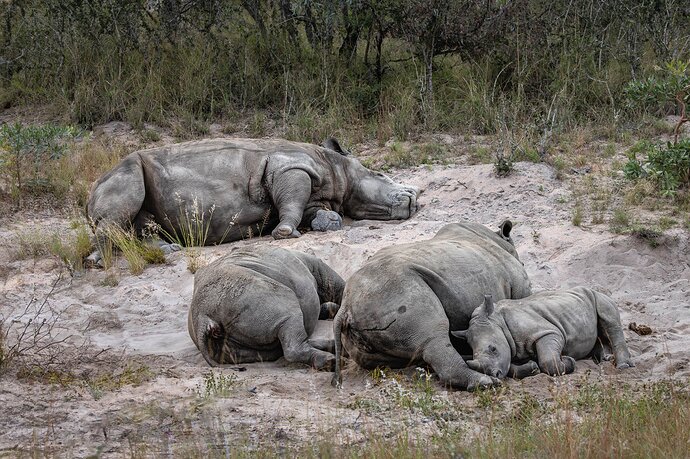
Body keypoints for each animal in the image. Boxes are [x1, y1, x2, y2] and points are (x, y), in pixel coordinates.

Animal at [86, 137, 418, 260]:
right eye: (381, 174)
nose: (414, 198)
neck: (336, 166)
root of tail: (87, 196)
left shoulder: (313, 194)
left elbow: (313, 211)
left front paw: (324, 223)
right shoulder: (289, 166)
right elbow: (292, 200)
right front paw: (284, 233)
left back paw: (169, 250)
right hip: (124, 170)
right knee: (122, 206)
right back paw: (99, 259)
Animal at [188, 245, 345, 370]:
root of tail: (203, 317)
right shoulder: (318, 268)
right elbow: (338, 286)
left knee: (272, 349)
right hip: (249, 296)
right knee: (289, 319)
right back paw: (331, 362)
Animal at [332, 221, 532, 391]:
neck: (499, 240)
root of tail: (346, 307)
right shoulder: (519, 286)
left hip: (368, 312)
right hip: (395, 291)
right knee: (433, 336)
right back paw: (487, 383)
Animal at [453, 288, 635, 379]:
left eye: (493, 349)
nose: (494, 375)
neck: (498, 321)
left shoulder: (547, 332)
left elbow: (548, 361)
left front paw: (569, 361)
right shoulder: (510, 349)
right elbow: (510, 366)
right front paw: (532, 368)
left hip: (598, 296)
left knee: (610, 319)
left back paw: (623, 366)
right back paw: (604, 359)